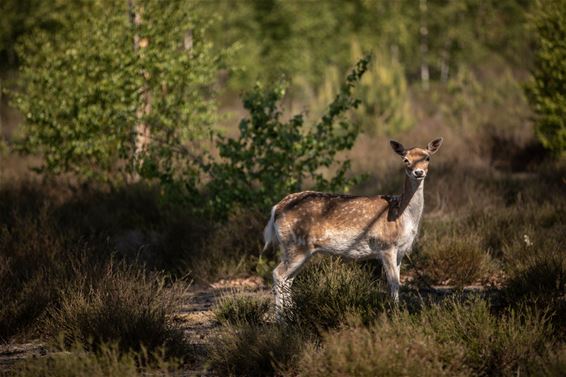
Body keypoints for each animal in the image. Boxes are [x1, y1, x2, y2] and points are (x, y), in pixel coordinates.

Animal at [264, 137, 446, 316]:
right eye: (405, 160)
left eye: (427, 158)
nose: (418, 172)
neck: (402, 216)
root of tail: (276, 209)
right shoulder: (386, 245)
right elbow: (393, 282)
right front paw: (395, 313)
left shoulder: (401, 250)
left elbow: (398, 282)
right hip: (295, 244)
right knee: (278, 274)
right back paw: (281, 319)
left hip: (298, 249)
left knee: (288, 279)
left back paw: (291, 315)